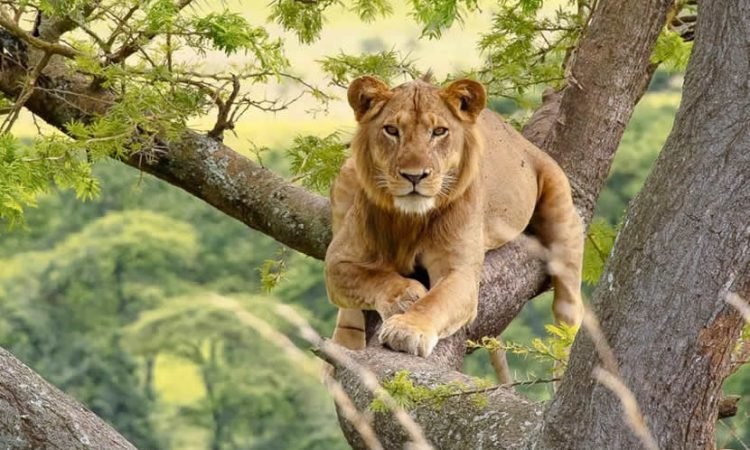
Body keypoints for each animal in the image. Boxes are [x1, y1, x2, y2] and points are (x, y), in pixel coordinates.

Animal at [324, 75, 583, 358]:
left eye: (439, 132)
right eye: (391, 130)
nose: (414, 176)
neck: (410, 219)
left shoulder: (459, 272)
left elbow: (436, 301)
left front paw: (408, 329)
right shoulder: (338, 260)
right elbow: (372, 278)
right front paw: (406, 295)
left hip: (559, 203)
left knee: (569, 301)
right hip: (348, 173)